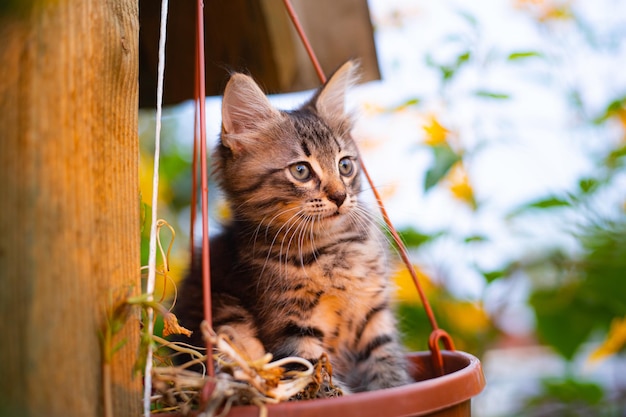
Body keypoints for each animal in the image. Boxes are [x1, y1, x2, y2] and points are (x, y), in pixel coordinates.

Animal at [173, 60, 412, 392]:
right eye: (301, 171)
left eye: (345, 165)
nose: (340, 196)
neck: (332, 247)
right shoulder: (293, 328)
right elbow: (320, 381)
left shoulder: (373, 315)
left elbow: (387, 365)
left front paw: (395, 390)